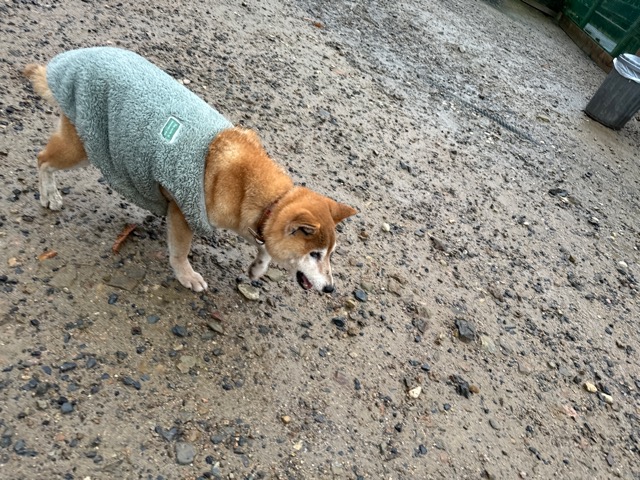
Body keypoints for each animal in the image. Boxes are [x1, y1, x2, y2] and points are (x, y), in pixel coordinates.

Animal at [23, 47, 356, 293]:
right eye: (315, 254)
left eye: (330, 254)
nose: (330, 289)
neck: (253, 190)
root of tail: (70, 59)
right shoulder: (182, 209)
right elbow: (180, 250)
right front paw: (186, 275)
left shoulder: (253, 222)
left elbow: (263, 247)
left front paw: (258, 266)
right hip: (81, 145)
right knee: (42, 159)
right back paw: (49, 194)